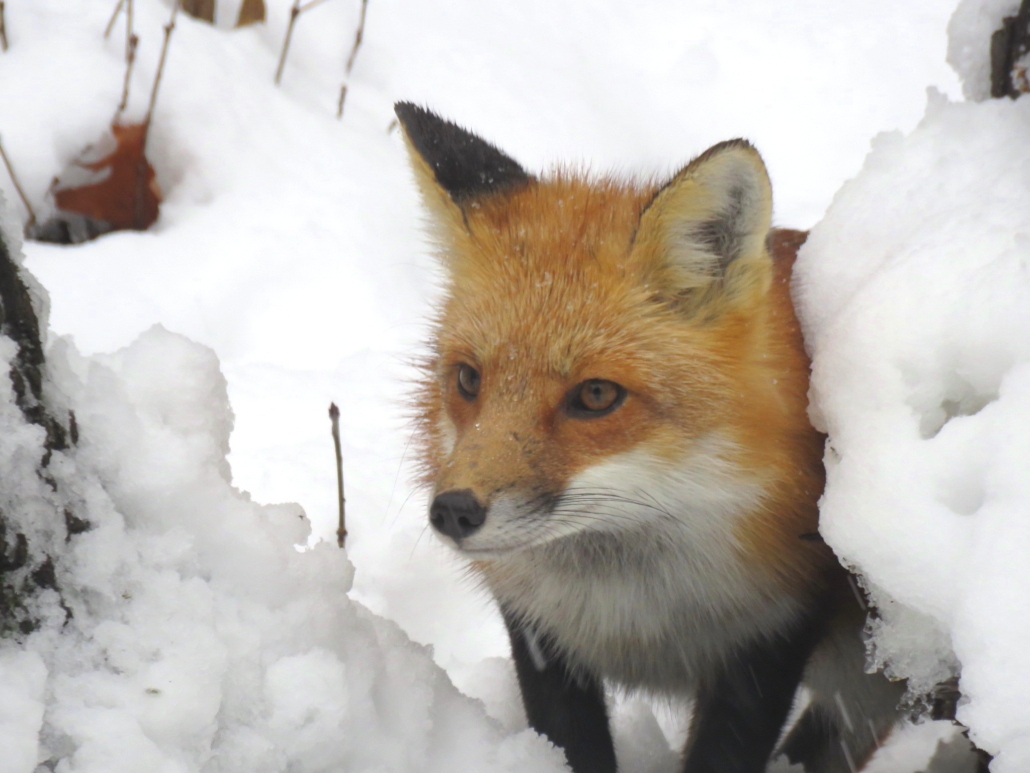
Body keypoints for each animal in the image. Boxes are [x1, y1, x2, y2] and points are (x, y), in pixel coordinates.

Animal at [395, 102, 906, 773]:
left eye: (595, 395)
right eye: (468, 379)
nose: (453, 511)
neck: (637, 609)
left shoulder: (773, 637)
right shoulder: (539, 634)